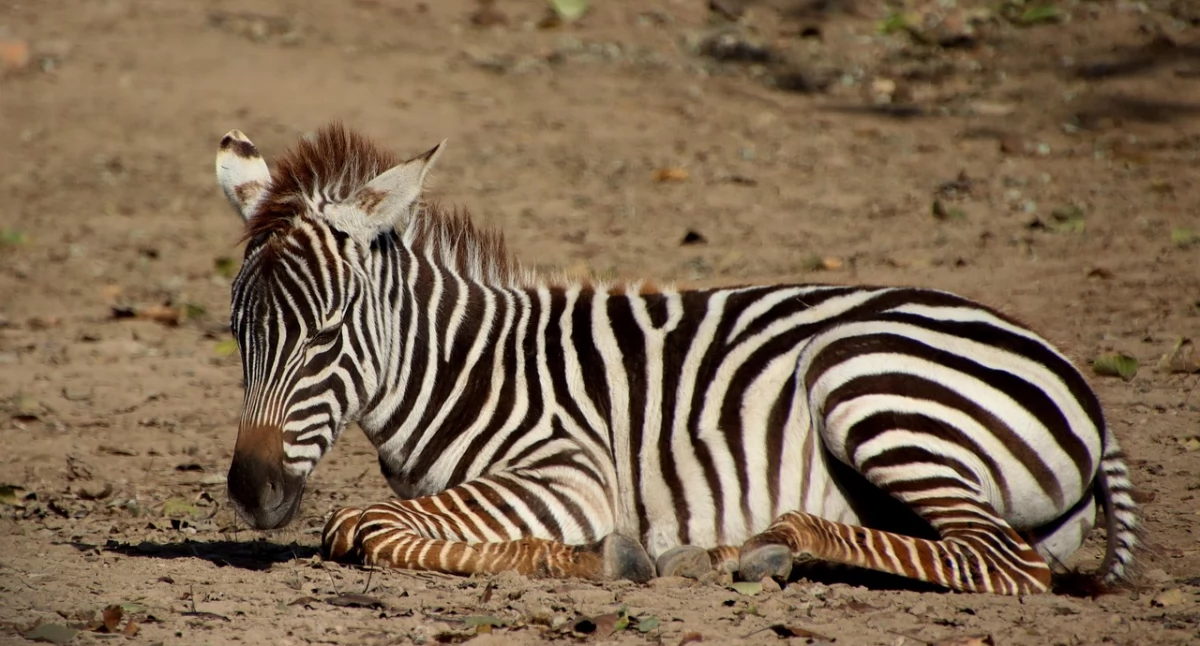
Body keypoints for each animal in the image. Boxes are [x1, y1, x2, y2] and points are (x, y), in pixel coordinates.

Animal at [214, 122, 1139, 595]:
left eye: (326, 334)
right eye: (238, 334)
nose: (250, 493)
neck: (463, 368)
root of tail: (1079, 386)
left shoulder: (570, 473)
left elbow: (360, 526)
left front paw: (602, 556)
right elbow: (381, 523)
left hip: (865, 380)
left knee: (1003, 562)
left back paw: (758, 547)